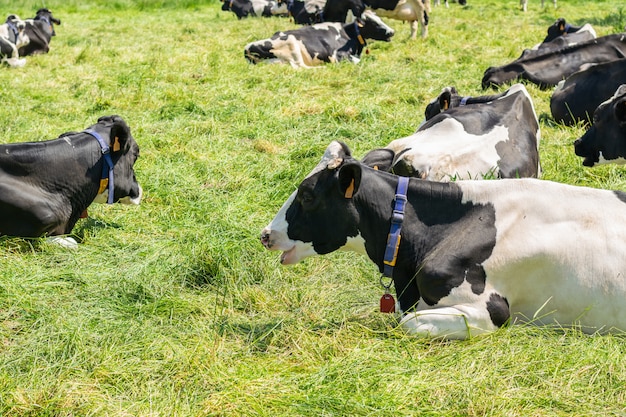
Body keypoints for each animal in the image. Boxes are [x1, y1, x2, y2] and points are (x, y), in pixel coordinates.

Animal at [243, 9, 390, 68]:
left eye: (380, 19)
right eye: (373, 23)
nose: (391, 32)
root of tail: (246, 49)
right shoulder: (338, 54)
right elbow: (357, 61)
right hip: (291, 43)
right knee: (300, 67)